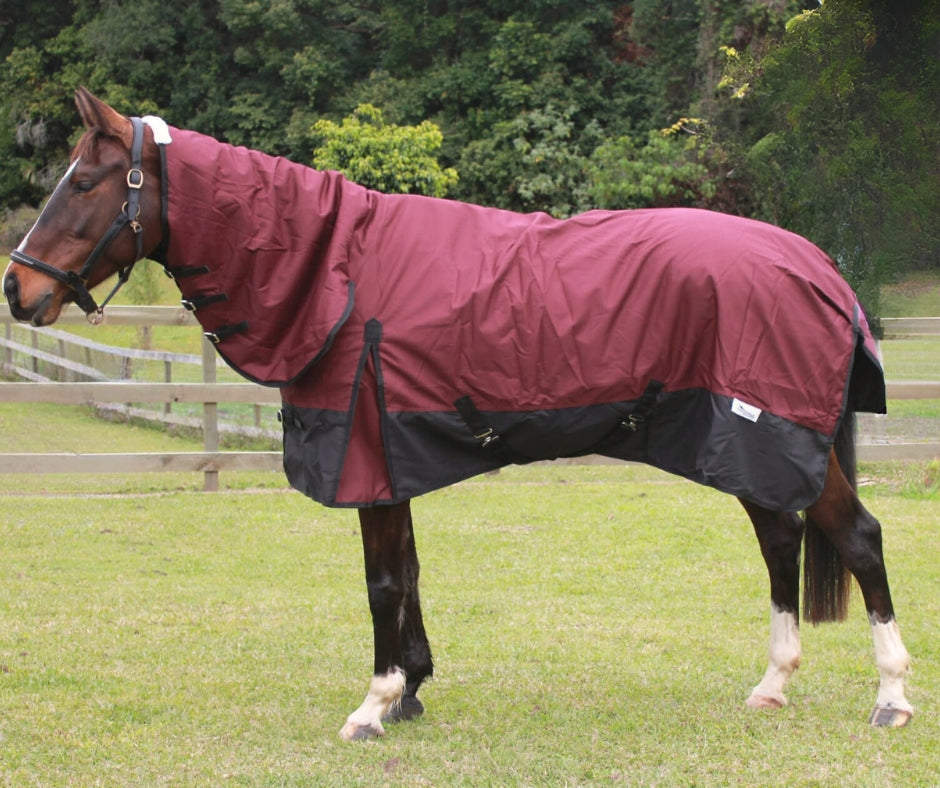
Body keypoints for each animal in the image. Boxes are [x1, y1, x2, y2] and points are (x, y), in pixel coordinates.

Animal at [4, 88, 913, 740]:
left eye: (83, 183)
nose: (18, 288)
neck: (337, 270)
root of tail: (814, 263)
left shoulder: (366, 455)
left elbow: (380, 582)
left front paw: (373, 705)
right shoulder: (393, 456)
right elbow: (407, 572)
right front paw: (410, 690)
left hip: (774, 436)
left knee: (857, 537)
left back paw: (892, 698)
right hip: (744, 446)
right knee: (782, 542)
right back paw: (772, 686)